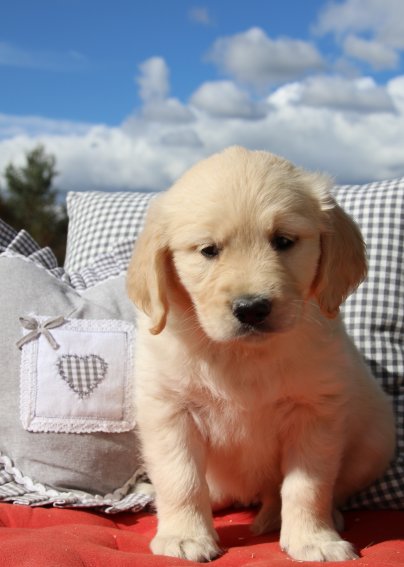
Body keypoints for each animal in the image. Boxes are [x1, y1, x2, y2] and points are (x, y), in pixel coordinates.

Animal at [127, 147, 395, 562]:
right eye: (208, 250)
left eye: (283, 241)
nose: (252, 308)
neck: (242, 355)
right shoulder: (170, 410)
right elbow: (181, 479)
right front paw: (184, 536)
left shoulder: (314, 413)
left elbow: (307, 486)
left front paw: (314, 539)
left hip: (378, 439)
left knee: (309, 491)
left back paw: (282, 516)